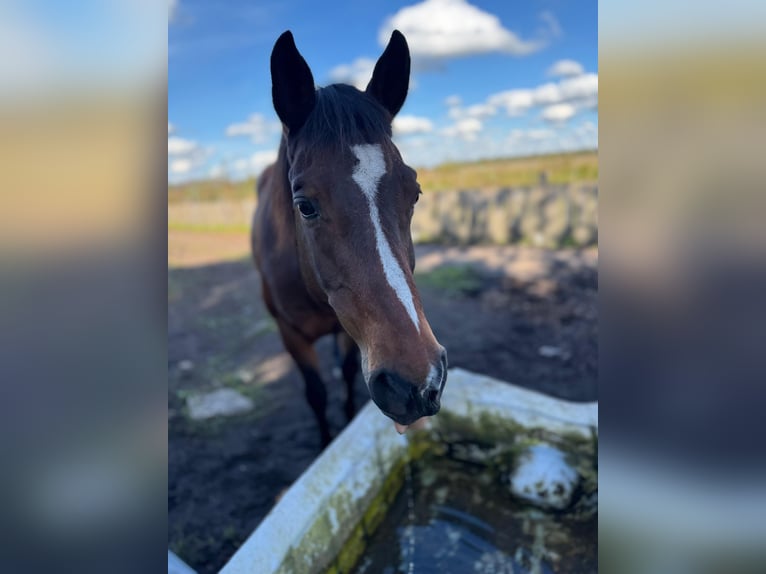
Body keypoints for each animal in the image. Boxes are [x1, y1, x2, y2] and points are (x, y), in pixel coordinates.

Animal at [252, 30, 447, 447]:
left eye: (414, 194)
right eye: (305, 206)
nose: (416, 385)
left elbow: (344, 374)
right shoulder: (290, 335)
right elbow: (316, 393)